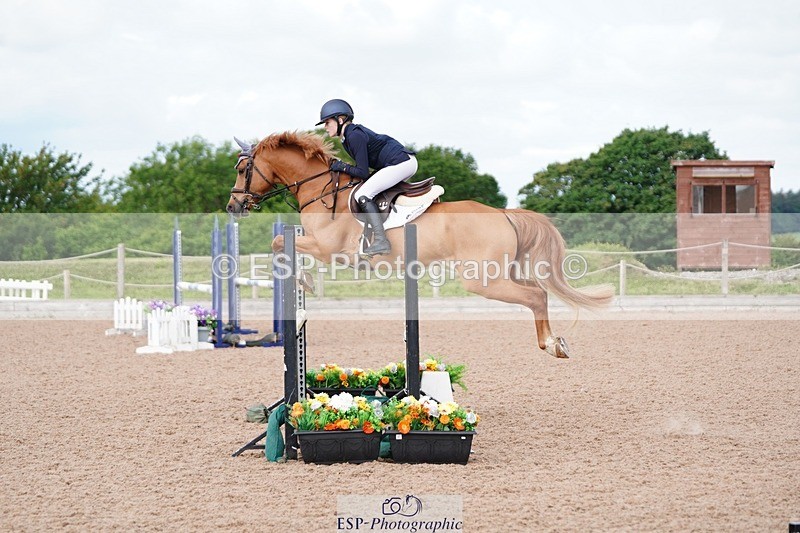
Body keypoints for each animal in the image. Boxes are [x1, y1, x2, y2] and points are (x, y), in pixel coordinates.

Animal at [226, 131, 613, 357]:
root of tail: (503, 213)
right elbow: (283, 244)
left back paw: (552, 345)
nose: (232, 206)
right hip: (502, 271)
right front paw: (303, 281)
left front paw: (304, 281)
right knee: (538, 290)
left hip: (482, 279)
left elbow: (280, 242)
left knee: (535, 295)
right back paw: (555, 341)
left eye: (243, 169)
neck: (319, 189)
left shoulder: (327, 248)